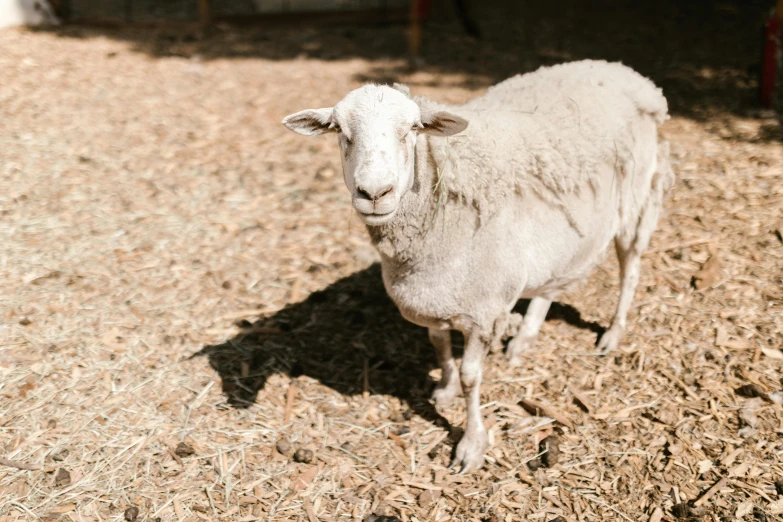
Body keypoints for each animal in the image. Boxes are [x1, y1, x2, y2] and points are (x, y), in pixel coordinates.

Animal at [282, 60, 672, 472]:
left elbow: (472, 377)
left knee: (630, 267)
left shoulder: (482, 311)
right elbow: (439, 347)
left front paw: (471, 442)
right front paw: (444, 389)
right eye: (340, 131)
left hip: (637, 196)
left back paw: (613, 332)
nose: (374, 193)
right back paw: (525, 336)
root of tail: (628, 75)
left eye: (413, 129)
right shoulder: (433, 296)